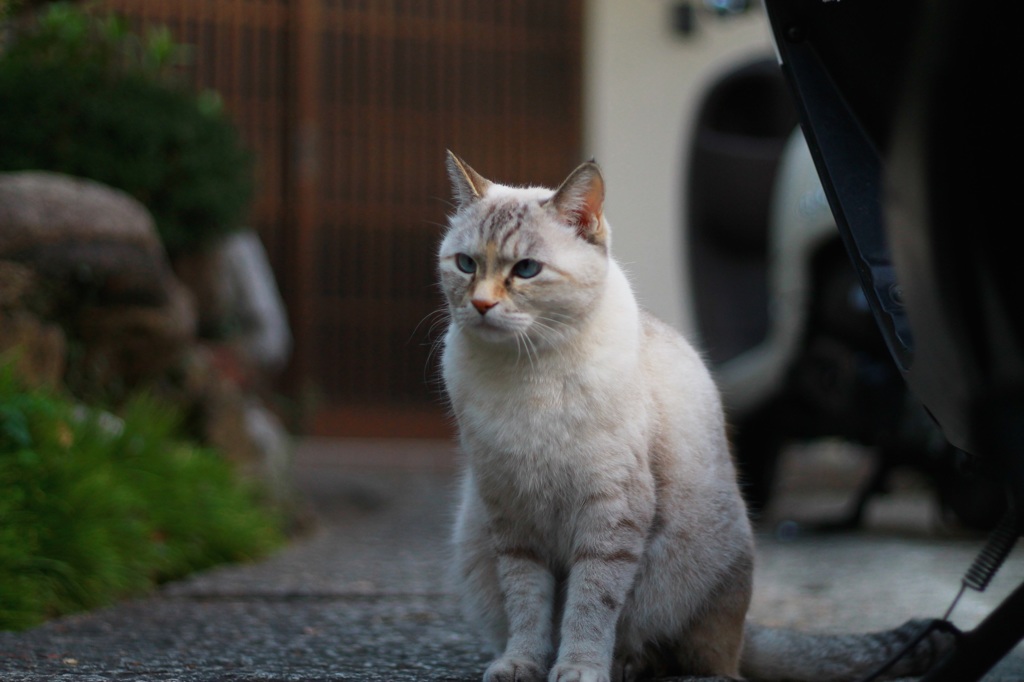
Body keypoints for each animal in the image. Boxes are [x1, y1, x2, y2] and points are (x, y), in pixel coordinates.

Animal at [436, 150, 954, 679]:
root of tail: (745, 632)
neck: (524, 372)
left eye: (526, 269)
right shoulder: (512, 517)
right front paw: (521, 664)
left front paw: (579, 669)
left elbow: (589, 606)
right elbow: (527, 606)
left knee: (700, 657)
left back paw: (630, 663)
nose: (481, 304)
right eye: (465, 264)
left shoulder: (610, 513)